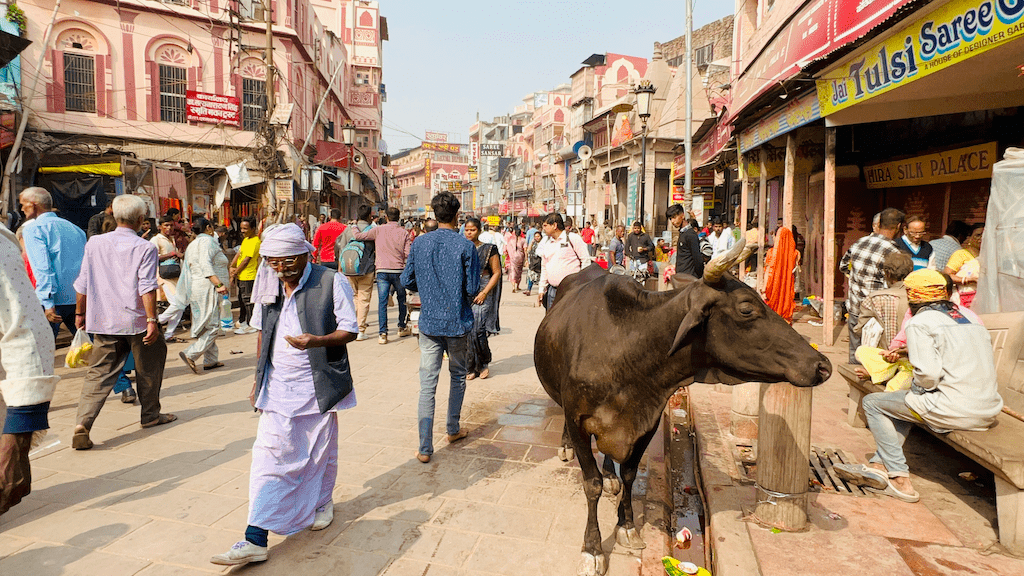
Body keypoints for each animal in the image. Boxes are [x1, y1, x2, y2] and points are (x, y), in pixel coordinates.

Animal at [536, 235, 831, 569]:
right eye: (746, 309)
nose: (822, 365)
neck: (628, 348)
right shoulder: (579, 419)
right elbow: (592, 483)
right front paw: (593, 548)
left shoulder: (647, 421)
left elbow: (629, 474)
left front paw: (626, 526)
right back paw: (566, 447)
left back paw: (610, 473)